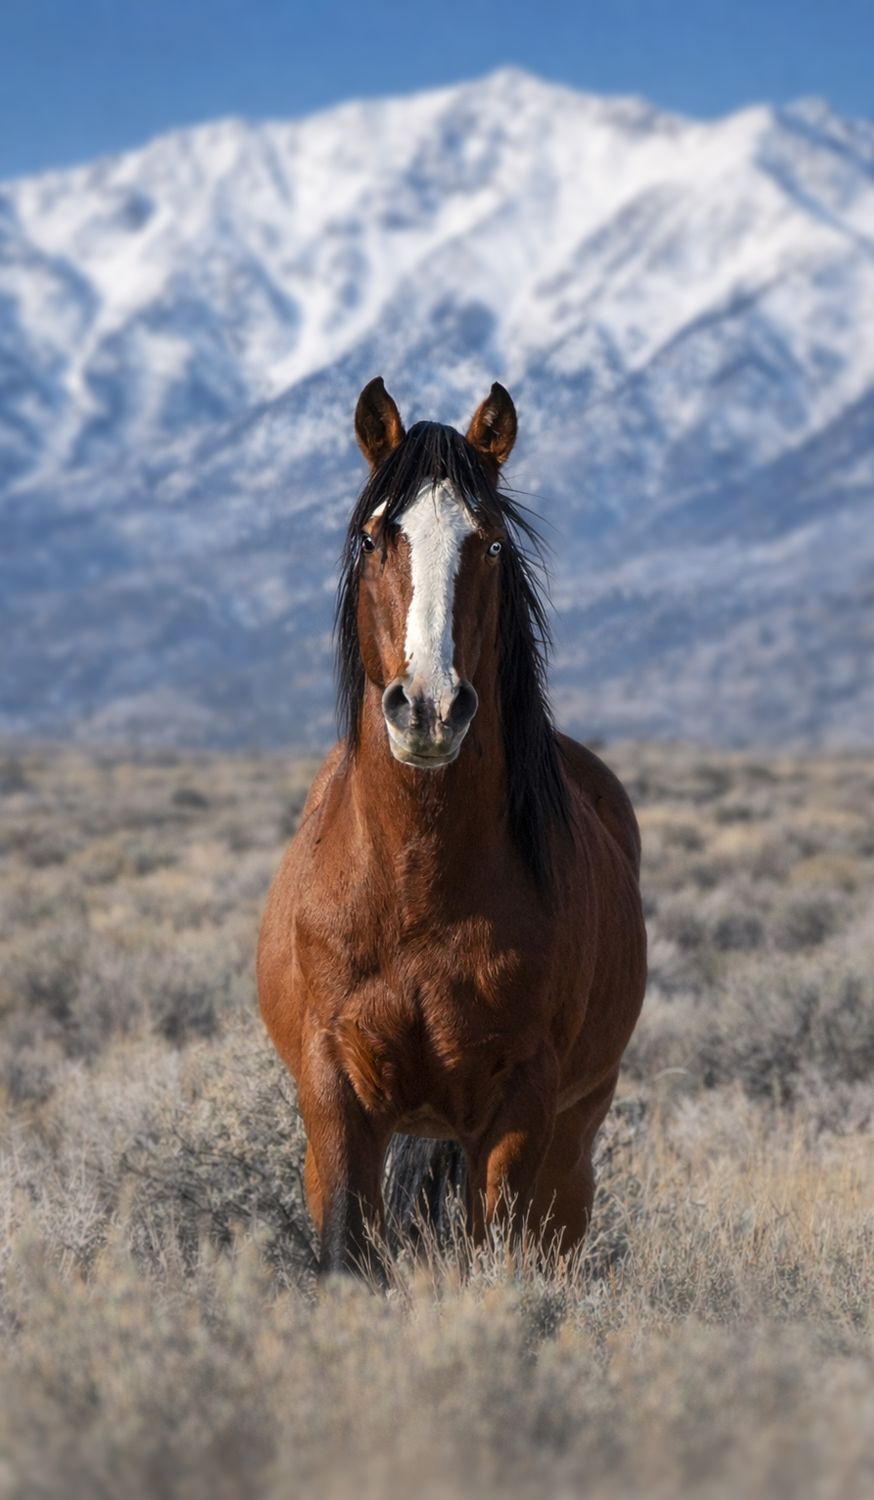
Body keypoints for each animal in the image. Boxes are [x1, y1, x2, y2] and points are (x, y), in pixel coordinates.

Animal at [257, 377, 647, 1275]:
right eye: (372, 538)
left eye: (492, 544)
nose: (429, 707)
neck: (415, 886)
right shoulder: (336, 1096)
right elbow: (346, 1255)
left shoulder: (519, 1106)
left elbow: (496, 1257)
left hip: (574, 1138)